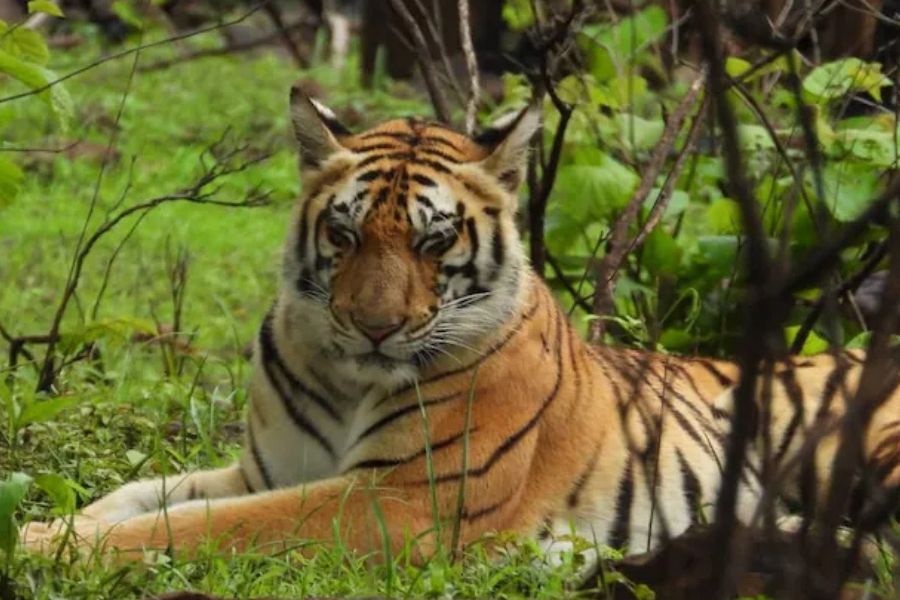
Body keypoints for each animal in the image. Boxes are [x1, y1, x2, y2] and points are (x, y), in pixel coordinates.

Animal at [21, 84, 900, 566]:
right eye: (343, 234)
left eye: (433, 241)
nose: (374, 327)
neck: (348, 377)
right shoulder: (266, 470)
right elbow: (145, 497)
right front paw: (52, 525)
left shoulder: (402, 497)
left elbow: (207, 528)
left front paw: (46, 550)